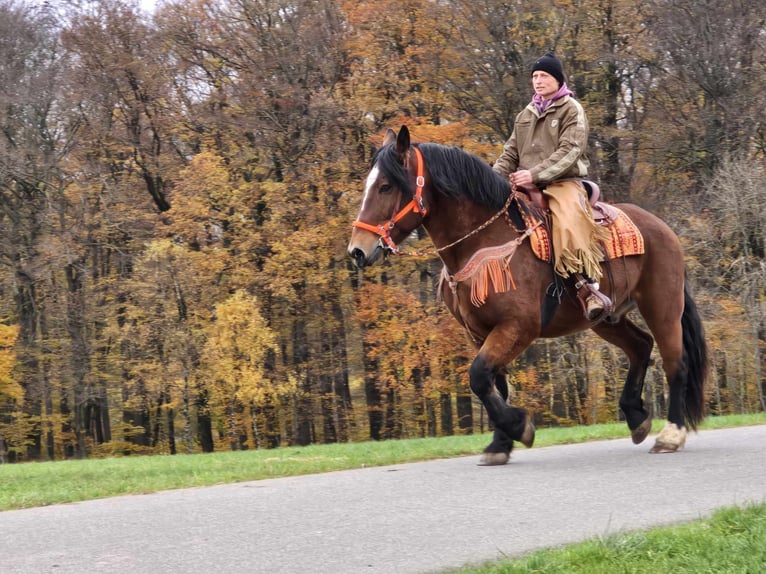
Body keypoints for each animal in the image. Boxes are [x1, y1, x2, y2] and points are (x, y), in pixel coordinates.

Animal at [348, 124, 708, 466]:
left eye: (386, 186)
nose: (357, 251)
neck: (484, 242)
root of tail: (661, 228)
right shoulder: (479, 333)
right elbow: (493, 383)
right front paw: (499, 444)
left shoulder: (519, 326)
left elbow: (479, 376)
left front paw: (519, 426)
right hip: (607, 318)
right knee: (640, 346)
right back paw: (636, 417)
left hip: (662, 305)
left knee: (676, 363)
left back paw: (670, 435)